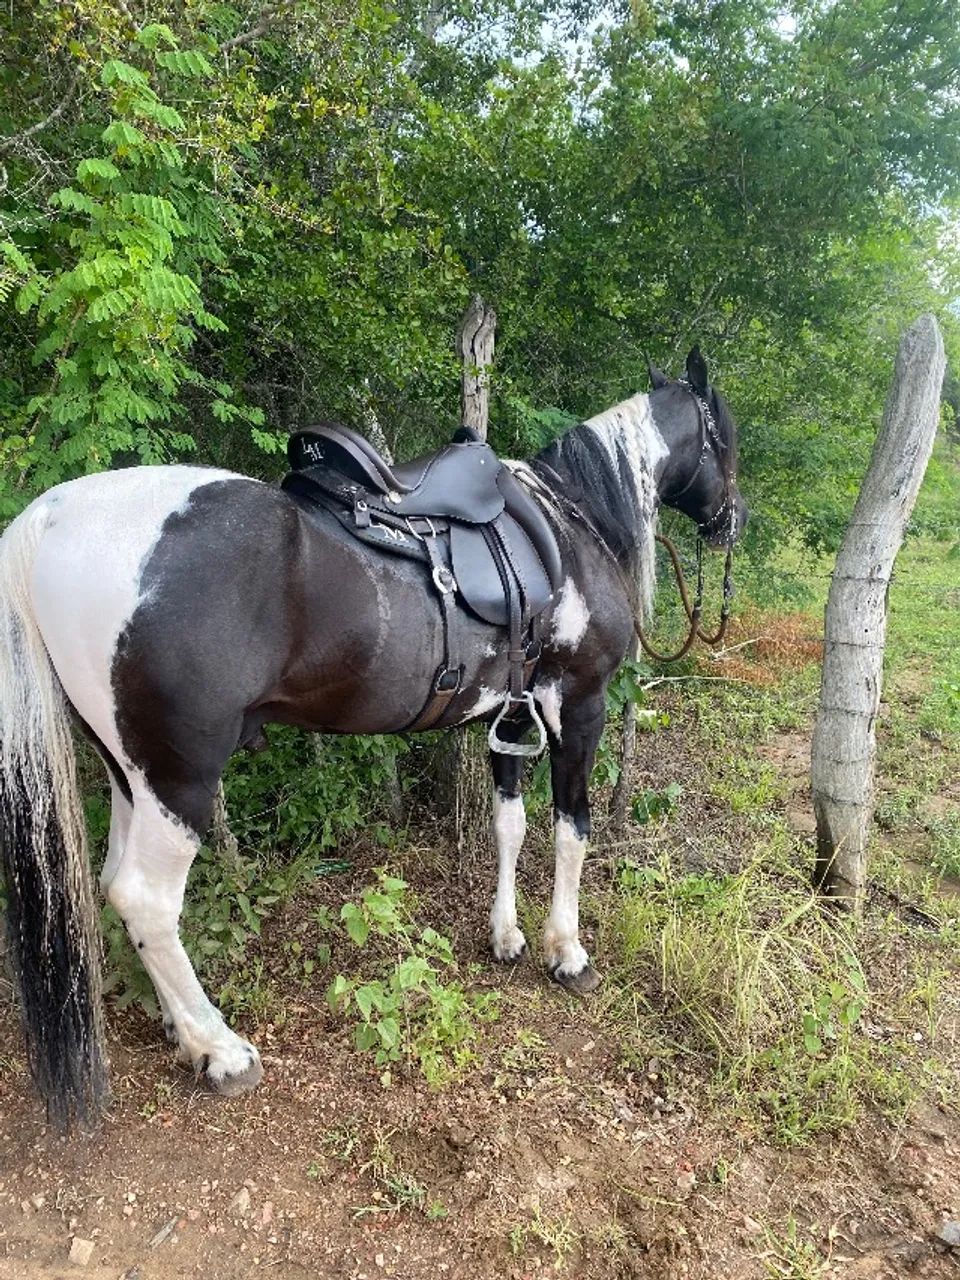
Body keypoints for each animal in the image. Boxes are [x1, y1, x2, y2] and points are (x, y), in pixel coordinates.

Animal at [0, 346, 746, 1127]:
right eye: (724, 434)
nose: (734, 519)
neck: (568, 523)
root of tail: (52, 514)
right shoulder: (579, 705)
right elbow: (571, 829)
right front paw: (565, 951)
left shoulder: (510, 717)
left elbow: (507, 826)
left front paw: (506, 936)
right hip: (179, 779)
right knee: (145, 897)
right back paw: (220, 1050)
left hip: (130, 773)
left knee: (117, 886)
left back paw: (182, 1028)